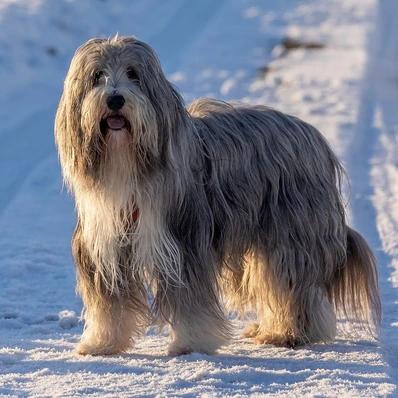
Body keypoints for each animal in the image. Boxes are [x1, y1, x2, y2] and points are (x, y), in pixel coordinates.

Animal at [54, 35, 380, 356]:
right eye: (97, 76)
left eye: (134, 74)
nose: (115, 99)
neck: (127, 165)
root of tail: (315, 138)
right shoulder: (106, 247)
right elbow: (110, 306)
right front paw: (102, 343)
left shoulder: (184, 243)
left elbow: (191, 303)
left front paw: (190, 344)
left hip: (291, 233)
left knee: (293, 285)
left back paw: (290, 333)